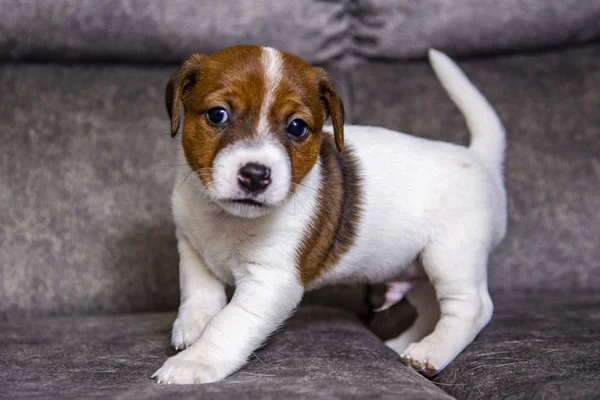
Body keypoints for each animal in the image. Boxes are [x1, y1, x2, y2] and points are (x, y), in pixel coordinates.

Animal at [151, 46, 506, 384]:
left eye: (297, 127)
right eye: (217, 114)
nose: (255, 175)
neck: (229, 218)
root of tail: (479, 158)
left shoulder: (271, 280)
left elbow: (230, 323)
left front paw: (196, 361)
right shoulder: (190, 244)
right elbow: (198, 289)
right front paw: (193, 325)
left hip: (450, 255)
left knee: (472, 307)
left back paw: (431, 351)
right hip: (417, 266)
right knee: (433, 308)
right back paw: (403, 347)